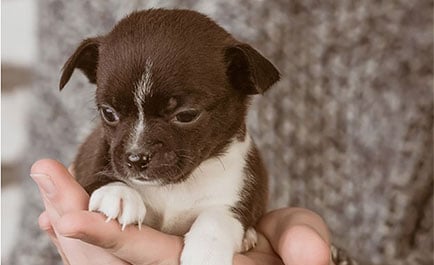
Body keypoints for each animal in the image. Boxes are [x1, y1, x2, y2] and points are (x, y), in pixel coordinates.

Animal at [59, 8, 280, 264]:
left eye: (186, 115)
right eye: (108, 113)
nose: (136, 157)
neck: (175, 186)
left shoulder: (238, 193)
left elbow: (217, 218)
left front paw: (207, 250)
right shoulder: (95, 155)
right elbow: (99, 171)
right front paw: (117, 192)